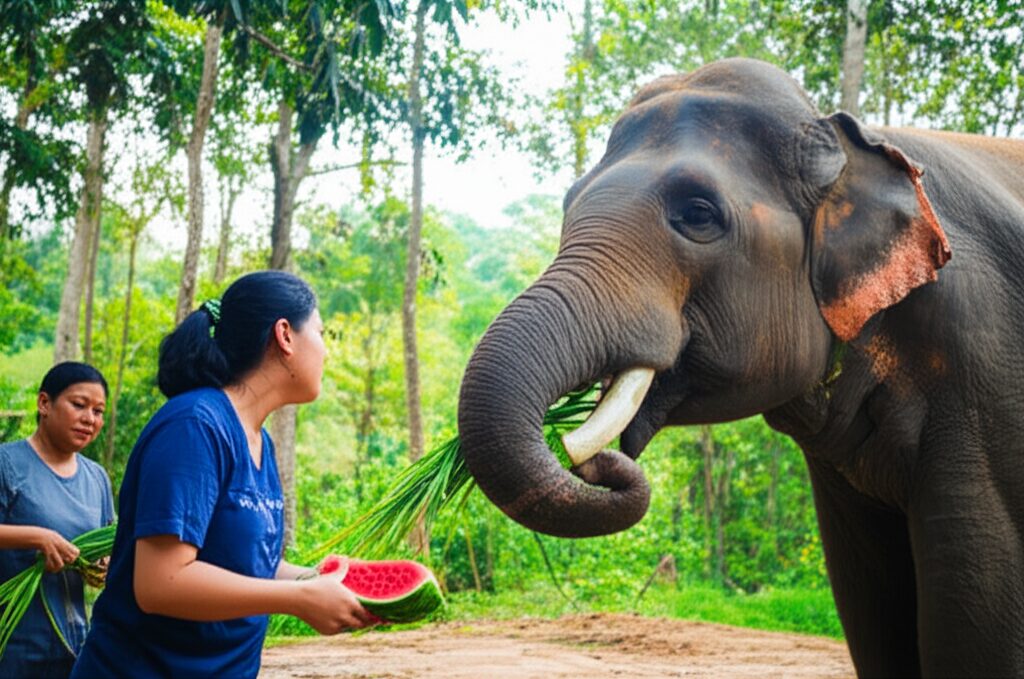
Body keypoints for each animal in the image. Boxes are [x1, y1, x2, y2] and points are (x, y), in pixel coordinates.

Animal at [457, 58, 1024, 677]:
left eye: (698, 214)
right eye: (567, 206)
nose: (580, 455)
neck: (852, 140)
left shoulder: (982, 373)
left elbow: (975, 612)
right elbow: (871, 605)